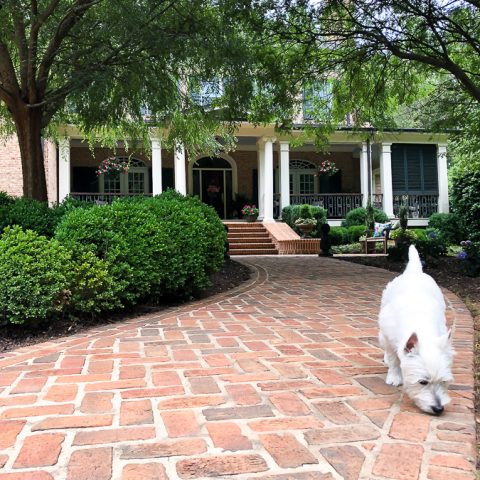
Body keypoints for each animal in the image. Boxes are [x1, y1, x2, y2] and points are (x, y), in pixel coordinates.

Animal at [378, 246, 454, 414]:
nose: (438, 409)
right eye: (423, 382)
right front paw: (394, 376)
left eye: (443, 381)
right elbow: (393, 358)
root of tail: (414, 271)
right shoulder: (388, 335)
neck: (421, 326)